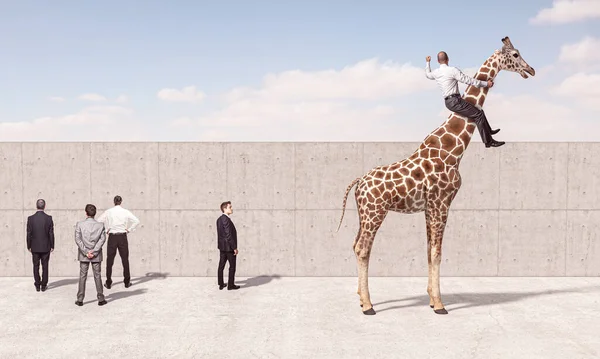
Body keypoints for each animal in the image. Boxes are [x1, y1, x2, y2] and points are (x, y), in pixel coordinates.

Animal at [336, 38, 536, 316]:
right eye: (516, 54)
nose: (531, 70)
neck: (454, 149)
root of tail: (358, 183)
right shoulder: (442, 203)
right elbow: (438, 252)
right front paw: (440, 305)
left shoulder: (430, 206)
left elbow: (429, 251)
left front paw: (432, 298)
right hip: (376, 211)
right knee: (363, 248)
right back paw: (368, 305)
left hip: (363, 213)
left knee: (355, 244)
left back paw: (360, 296)